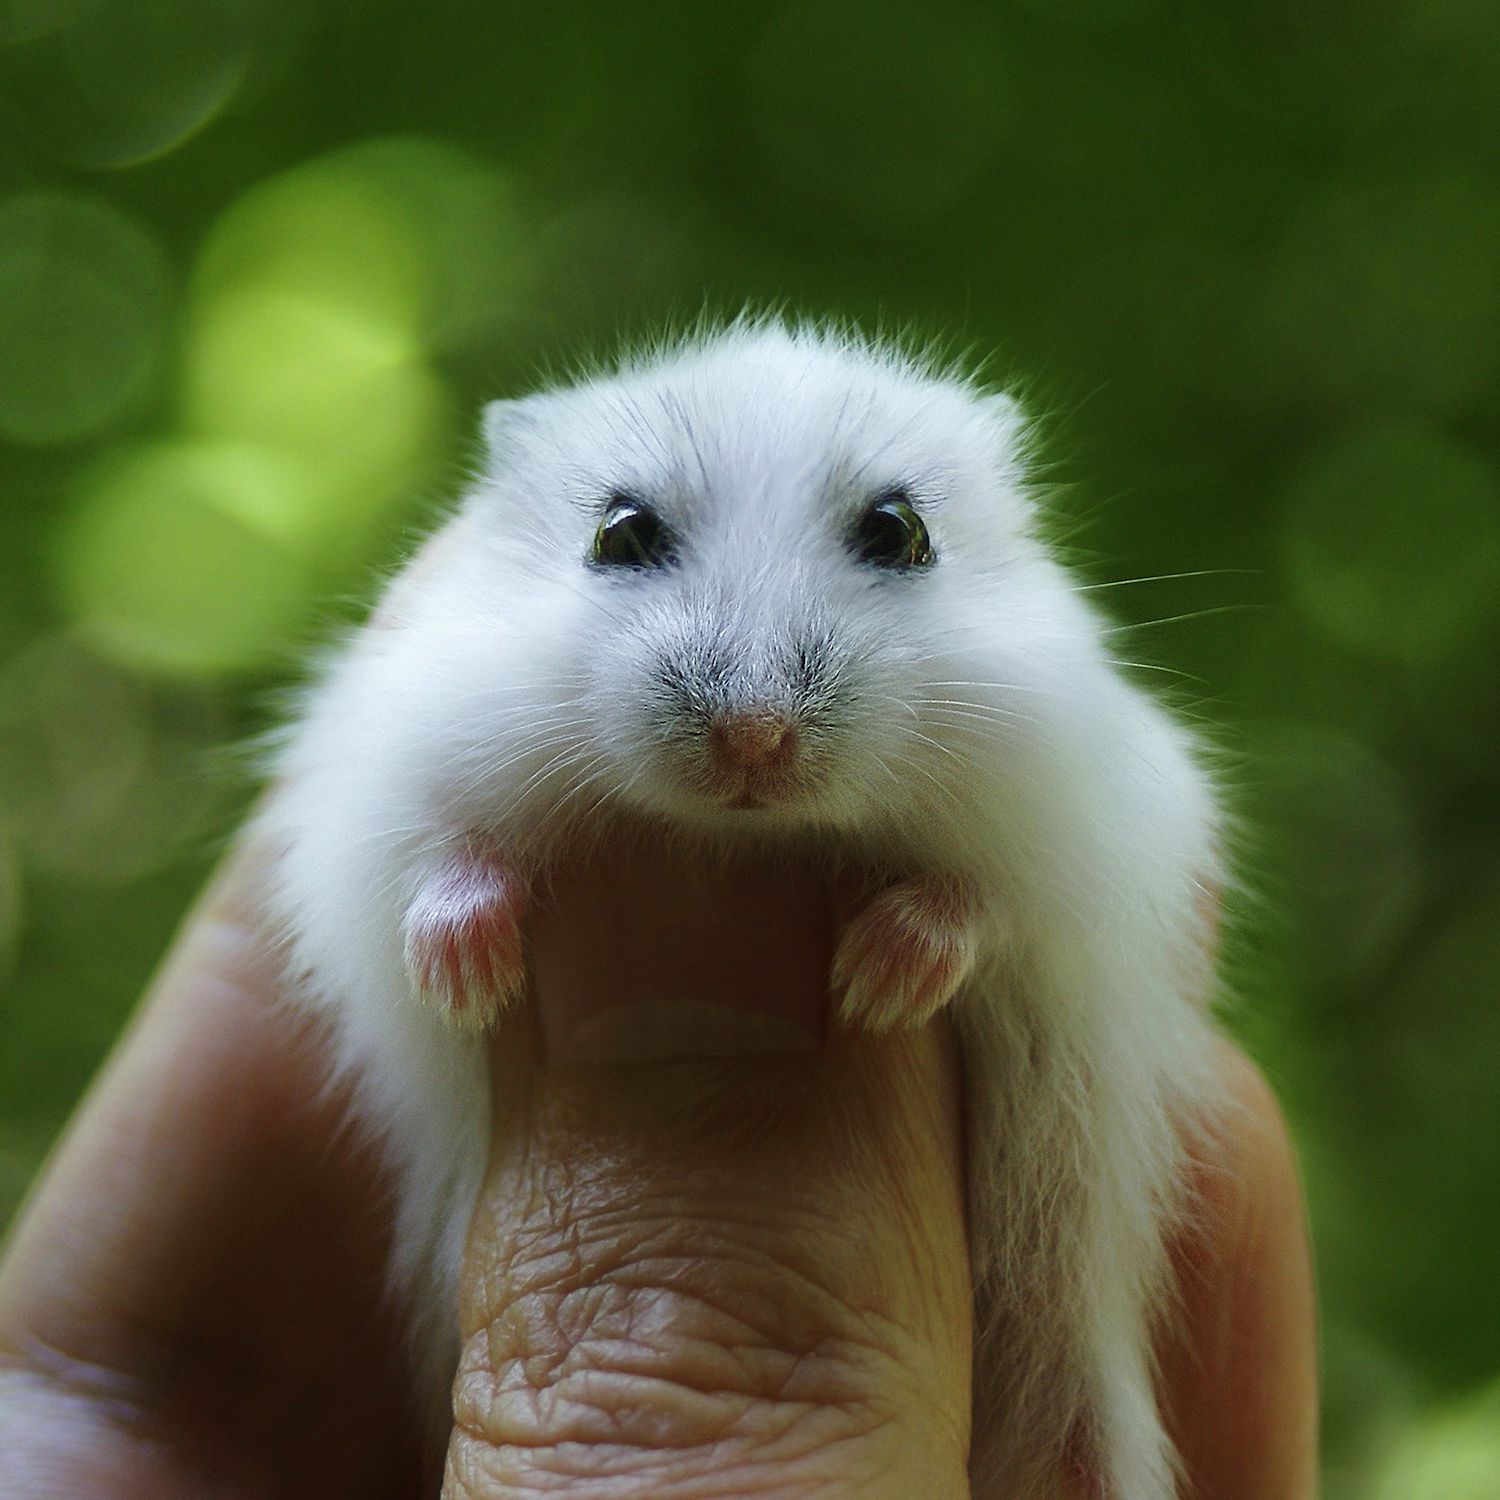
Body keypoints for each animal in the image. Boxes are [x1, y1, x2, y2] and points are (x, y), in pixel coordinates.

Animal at [260, 320, 1224, 1499]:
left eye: (901, 531)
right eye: (619, 533)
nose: (754, 741)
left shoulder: (1087, 838)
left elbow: (975, 902)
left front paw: (874, 987)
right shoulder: (372, 799)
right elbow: (437, 862)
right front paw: (470, 981)